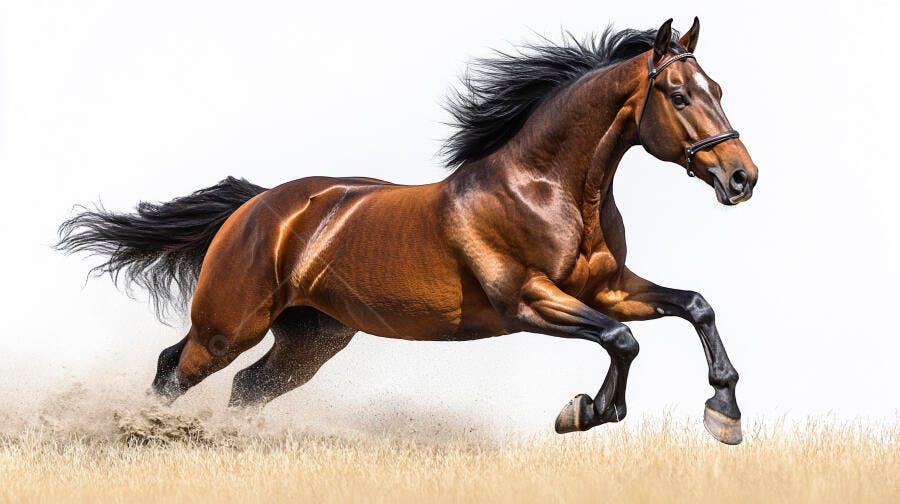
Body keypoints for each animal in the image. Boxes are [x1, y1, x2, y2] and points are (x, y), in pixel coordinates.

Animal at [58, 18, 757, 445]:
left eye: (719, 88)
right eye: (678, 94)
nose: (742, 177)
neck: (548, 190)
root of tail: (256, 208)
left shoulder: (608, 288)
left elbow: (693, 306)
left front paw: (723, 413)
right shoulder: (528, 301)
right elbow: (621, 339)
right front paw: (586, 411)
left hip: (310, 339)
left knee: (246, 387)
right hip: (229, 325)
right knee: (175, 368)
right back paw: (143, 437)